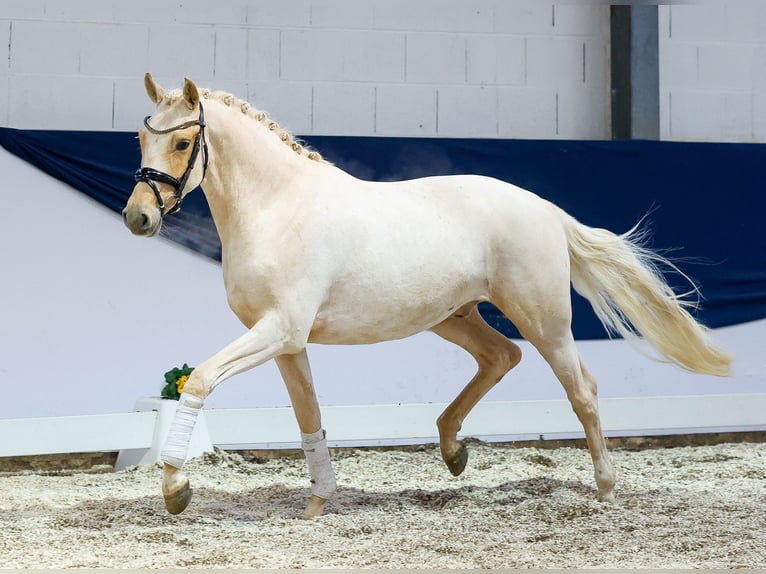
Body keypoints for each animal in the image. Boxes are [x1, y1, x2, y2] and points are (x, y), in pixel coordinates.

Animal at [123, 74, 736, 520]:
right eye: (140, 138)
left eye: (183, 141)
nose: (138, 218)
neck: (278, 208)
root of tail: (544, 208)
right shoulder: (288, 342)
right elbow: (308, 417)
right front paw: (318, 505)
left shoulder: (279, 330)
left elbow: (200, 380)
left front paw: (176, 488)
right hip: (452, 316)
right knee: (500, 357)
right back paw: (453, 450)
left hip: (542, 319)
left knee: (580, 388)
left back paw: (605, 489)